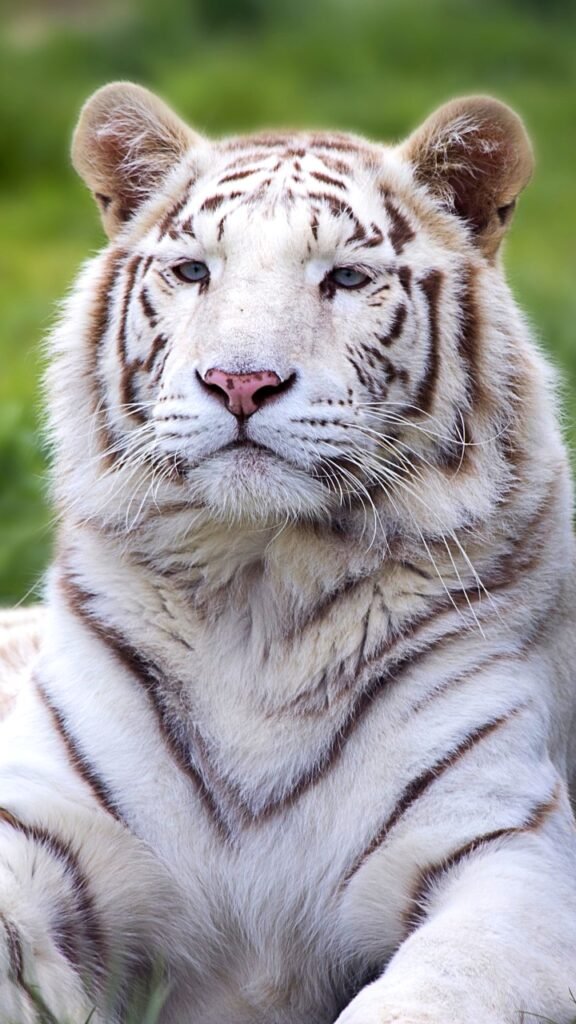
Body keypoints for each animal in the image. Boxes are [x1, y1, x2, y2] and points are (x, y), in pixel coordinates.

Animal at [1, 79, 576, 1024]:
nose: (241, 382)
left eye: (344, 277)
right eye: (195, 270)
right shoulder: (48, 821)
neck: (260, 588)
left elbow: (433, 994)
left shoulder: (505, 852)